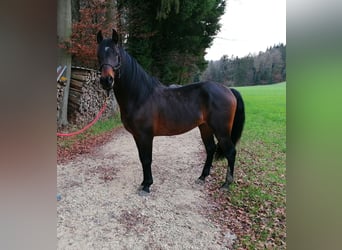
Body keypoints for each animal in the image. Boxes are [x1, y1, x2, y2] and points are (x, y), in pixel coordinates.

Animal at [97, 29, 244, 195]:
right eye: (99, 54)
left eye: (116, 54)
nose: (106, 80)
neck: (140, 96)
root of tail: (228, 89)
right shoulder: (137, 136)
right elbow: (142, 158)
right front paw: (143, 183)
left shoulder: (145, 135)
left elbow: (147, 159)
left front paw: (147, 186)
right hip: (205, 127)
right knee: (210, 149)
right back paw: (202, 177)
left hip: (221, 130)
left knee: (230, 152)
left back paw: (226, 183)